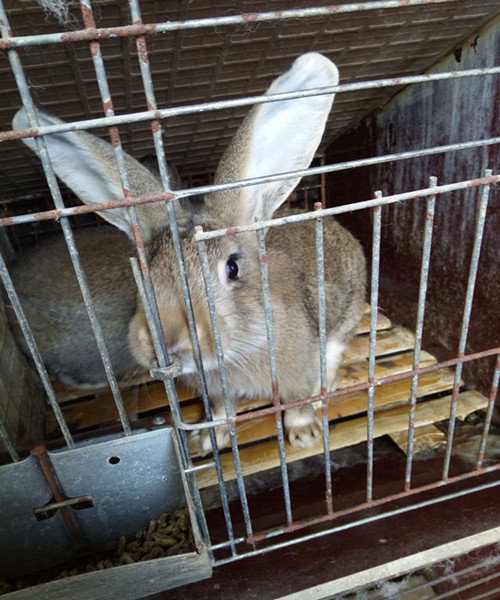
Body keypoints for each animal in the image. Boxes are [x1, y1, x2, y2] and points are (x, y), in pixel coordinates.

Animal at [127, 54, 366, 450]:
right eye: (147, 274)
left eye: (233, 269)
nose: (169, 343)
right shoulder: (216, 392)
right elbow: (222, 409)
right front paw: (208, 440)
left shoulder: (298, 367)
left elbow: (297, 401)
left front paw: (304, 435)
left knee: (332, 354)